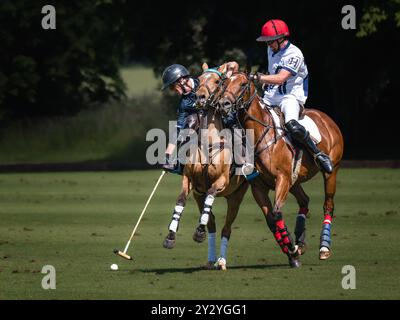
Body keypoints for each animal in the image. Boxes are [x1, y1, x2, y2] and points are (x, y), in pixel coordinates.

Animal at [219, 71, 344, 264]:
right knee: (304, 200)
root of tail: (327, 119)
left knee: (328, 205)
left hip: (331, 171)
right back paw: (300, 242)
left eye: (243, 84)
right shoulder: (258, 186)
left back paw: (324, 248)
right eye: (225, 84)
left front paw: (291, 249)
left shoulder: (282, 179)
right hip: (295, 180)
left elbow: (277, 213)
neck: (260, 135)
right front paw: (291, 250)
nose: (223, 104)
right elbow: (271, 219)